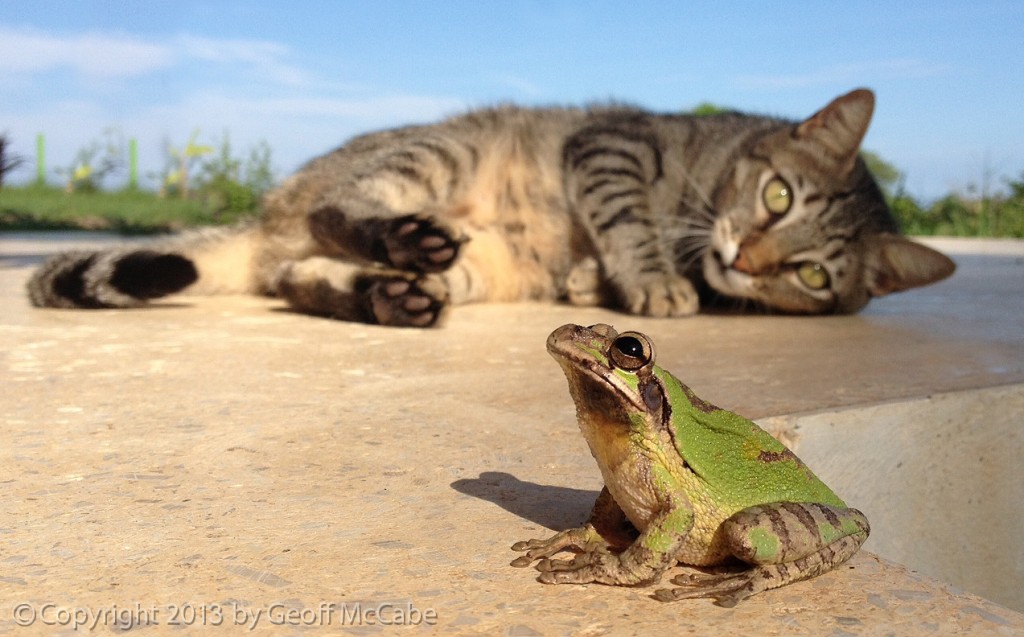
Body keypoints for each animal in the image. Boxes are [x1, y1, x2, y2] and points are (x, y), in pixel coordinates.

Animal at [25, 88, 950, 329]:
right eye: (777, 193)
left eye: (814, 273)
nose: (747, 259)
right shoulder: (611, 146)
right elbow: (630, 222)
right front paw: (654, 280)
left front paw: (600, 284)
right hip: (438, 155)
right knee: (335, 215)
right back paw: (397, 242)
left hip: (480, 266)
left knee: (300, 278)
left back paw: (390, 292)